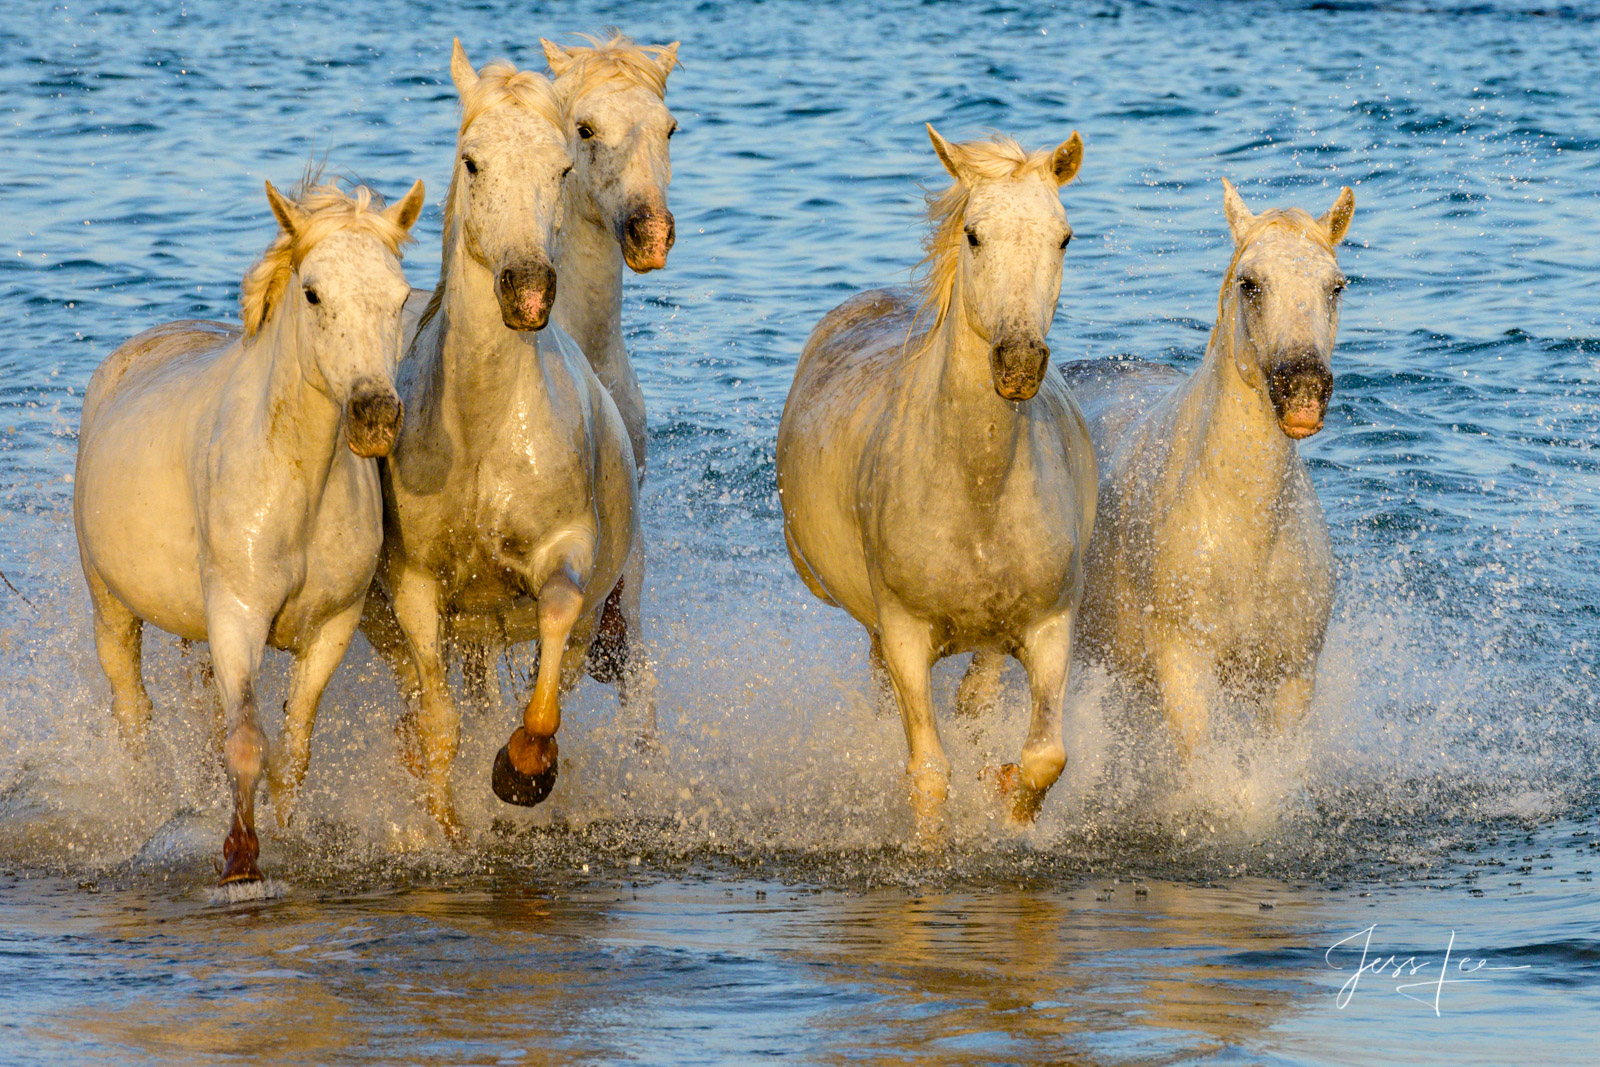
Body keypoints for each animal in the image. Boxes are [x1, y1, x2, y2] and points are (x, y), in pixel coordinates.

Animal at [73, 177, 425, 883]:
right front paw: (240, 858)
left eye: (401, 297)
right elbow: (246, 742)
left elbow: (293, 748)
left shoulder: (332, 628)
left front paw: (286, 834)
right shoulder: (236, 615)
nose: (375, 414)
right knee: (133, 712)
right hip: (111, 607)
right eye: (312, 293)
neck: (296, 482)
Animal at [364, 43, 636, 831]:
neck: (480, 429)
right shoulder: (417, 587)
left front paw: (522, 770)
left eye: (563, 167)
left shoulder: (567, 554)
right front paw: (448, 831)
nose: (527, 290)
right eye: (472, 160)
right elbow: (440, 723)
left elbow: (548, 666)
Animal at [774, 129, 1100, 831]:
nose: (1018, 363)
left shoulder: (1049, 628)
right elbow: (927, 774)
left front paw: (1007, 807)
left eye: (1064, 237)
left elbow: (1044, 757)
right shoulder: (903, 635)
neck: (976, 494)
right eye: (973, 235)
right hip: (872, 626)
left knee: (979, 695)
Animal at [960, 179, 1350, 758]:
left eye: (1336, 286)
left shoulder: (1291, 680)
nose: (1302, 389)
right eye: (1250, 284)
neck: (1247, 531)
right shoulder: (1185, 671)